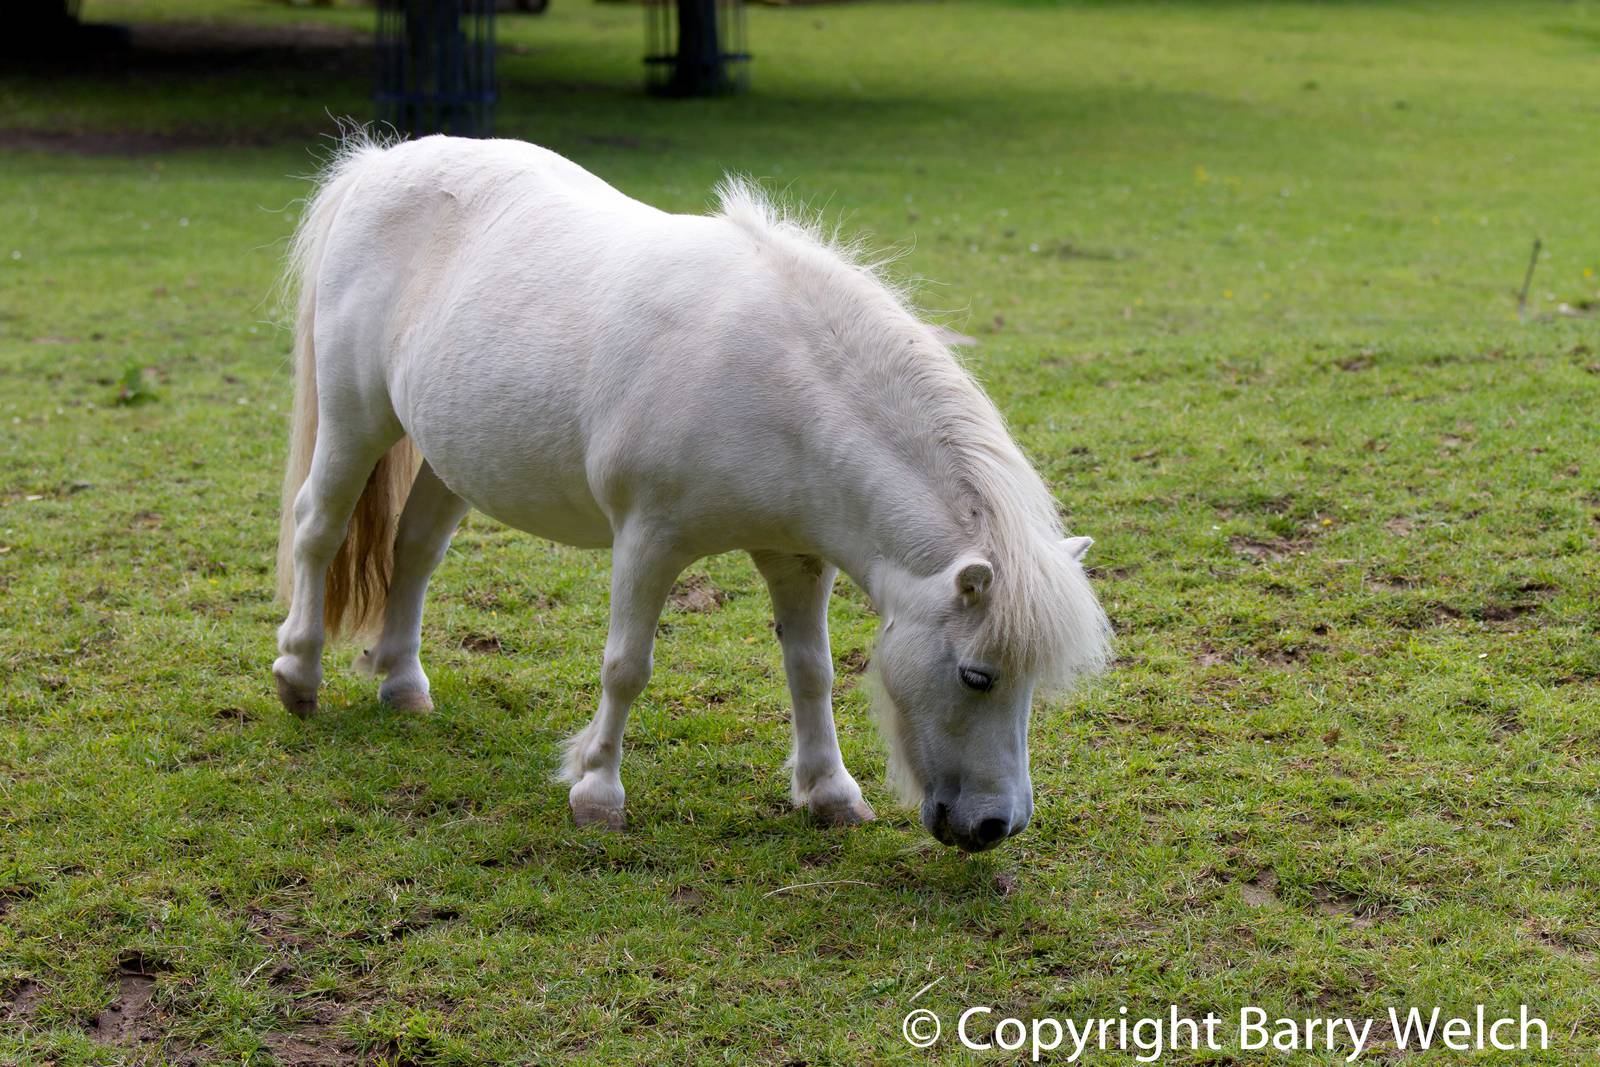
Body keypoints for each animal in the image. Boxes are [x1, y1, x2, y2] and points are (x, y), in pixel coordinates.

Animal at [272, 134, 1111, 852]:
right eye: (977, 675)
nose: (997, 825)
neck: (775, 385)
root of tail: (378, 165)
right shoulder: (649, 540)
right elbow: (626, 665)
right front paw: (597, 792)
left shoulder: (798, 556)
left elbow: (812, 670)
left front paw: (830, 792)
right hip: (356, 419)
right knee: (317, 528)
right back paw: (299, 674)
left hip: (452, 457)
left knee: (412, 553)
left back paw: (403, 684)